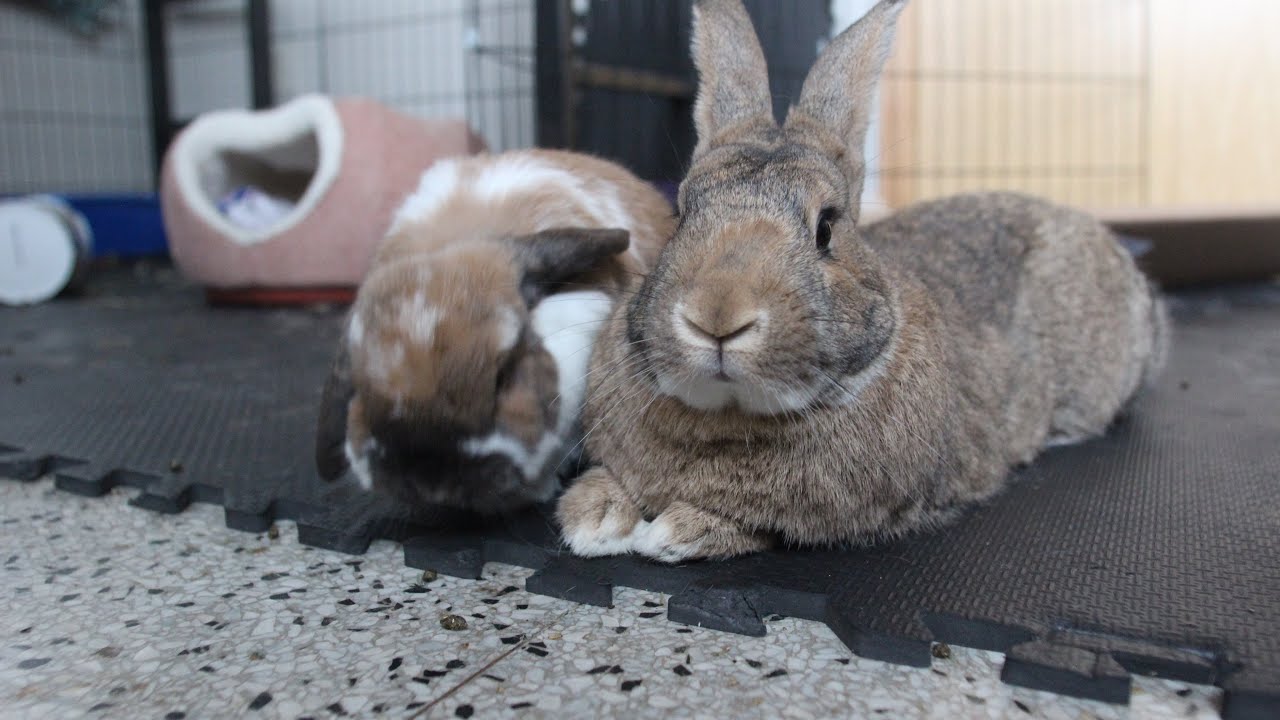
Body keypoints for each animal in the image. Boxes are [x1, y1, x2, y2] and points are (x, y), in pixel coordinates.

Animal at [555, 0, 1169, 561]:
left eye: (826, 227)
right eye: (681, 213)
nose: (717, 318)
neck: (728, 412)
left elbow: (751, 524)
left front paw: (672, 532)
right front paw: (593, 520)